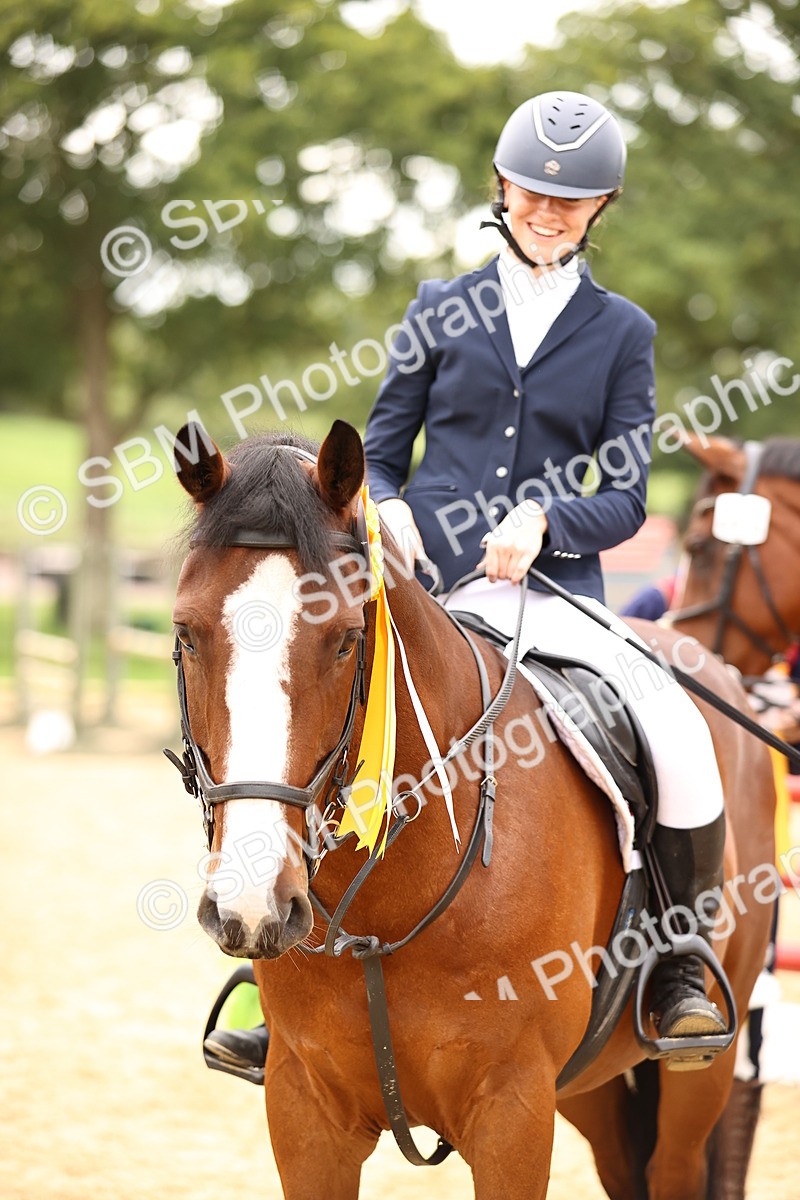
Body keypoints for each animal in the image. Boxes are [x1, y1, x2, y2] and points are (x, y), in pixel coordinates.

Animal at [169, 418, 775, 1200]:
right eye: (187, 634)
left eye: (345, 640)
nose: (252, 906)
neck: (386, 911)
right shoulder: (305, 1110)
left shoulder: (513, 1112)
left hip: (697, 1075)